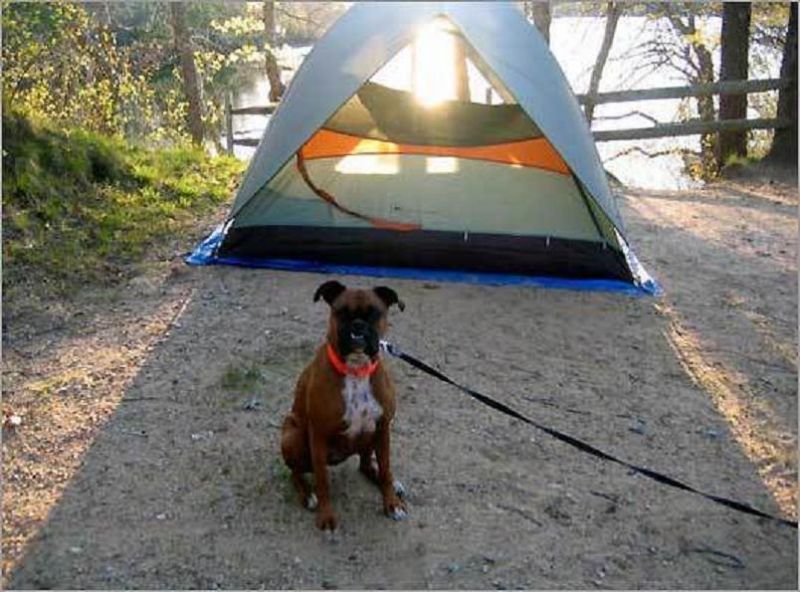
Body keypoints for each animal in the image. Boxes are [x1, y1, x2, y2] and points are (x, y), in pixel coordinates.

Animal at [282, 280, 406, 528]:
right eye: (341, 312)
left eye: (374, 313)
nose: (357, 325)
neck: (356, 369)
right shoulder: (318, 434)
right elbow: (322, 480)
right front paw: (326, 516)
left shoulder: (383, 428)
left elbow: (386, 468)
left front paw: (391, 503)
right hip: (293, 435)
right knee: (295, 472)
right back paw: (307, 495)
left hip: (370, 437)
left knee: (367, 465)